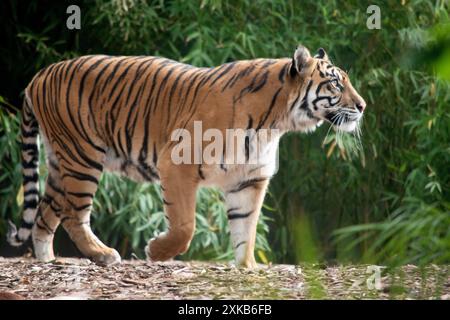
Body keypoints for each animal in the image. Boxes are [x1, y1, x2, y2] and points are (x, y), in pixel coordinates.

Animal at [7, 45, 366, 268]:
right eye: (336, 84)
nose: (363, 106)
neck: (277, 121)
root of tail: (39, 75)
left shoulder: (249, 180)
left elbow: (246, 228)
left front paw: (247, 267)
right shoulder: (177, 165)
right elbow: (185, 227)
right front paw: (155, 250)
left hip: (62, 162)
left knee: (44, 213)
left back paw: (47, 260)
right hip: (82, 157)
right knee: (73, 214)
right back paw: (104, 254)